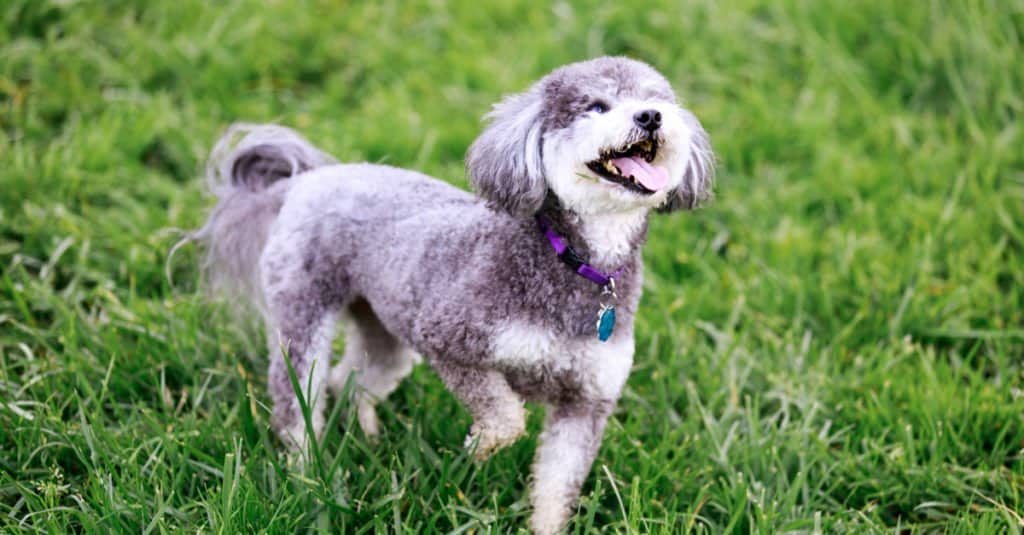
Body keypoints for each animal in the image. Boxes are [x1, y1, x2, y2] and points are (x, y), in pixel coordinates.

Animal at [195, 56, 716, 528]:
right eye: (596, 106)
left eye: (658, 100)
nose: (651, 117)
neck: (576, 262)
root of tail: (304, 180)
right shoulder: (449, 339)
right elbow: (505, 417)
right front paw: (476, 450)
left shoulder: (586, 403)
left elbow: (555, 489)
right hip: (302, 316)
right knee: (298, 402)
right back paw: (307, 476)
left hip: (384, 328)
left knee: (352, 379)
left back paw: (367, 434)